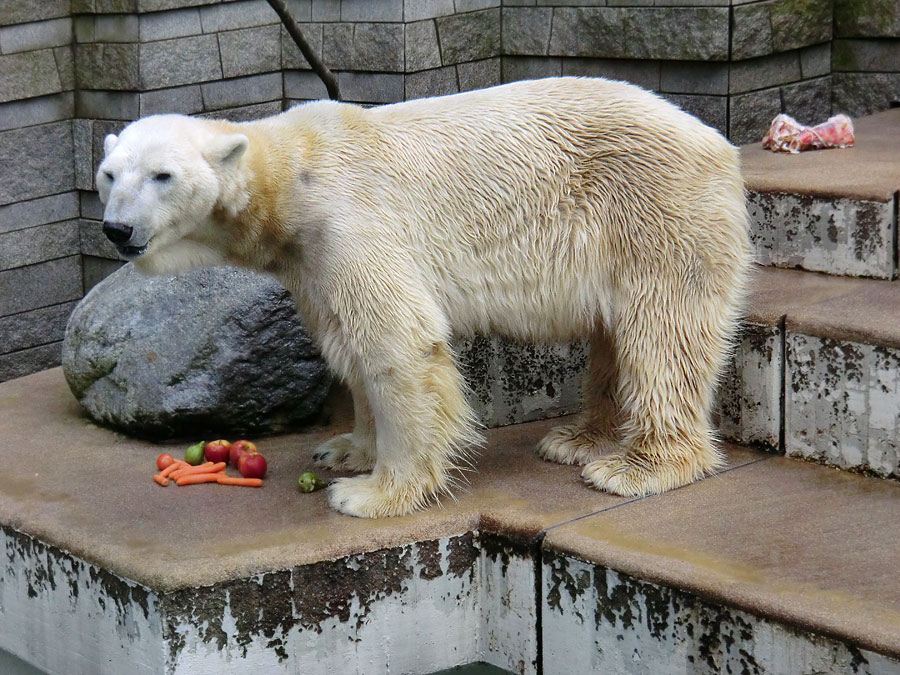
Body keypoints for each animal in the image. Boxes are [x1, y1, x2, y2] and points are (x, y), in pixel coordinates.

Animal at [95, 76, 748, 516]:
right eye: (110, 174)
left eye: (162, 176)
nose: (117, 229)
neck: (290, 178)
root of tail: (717, 142)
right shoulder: (310, 259)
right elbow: (345, 340)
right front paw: (345, 451)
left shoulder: (351, 221)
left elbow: (396, 342)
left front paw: (372, 493)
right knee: (616, 333)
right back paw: (578, 439)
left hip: (654, 212)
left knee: (662, 332)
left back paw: (636, 467)